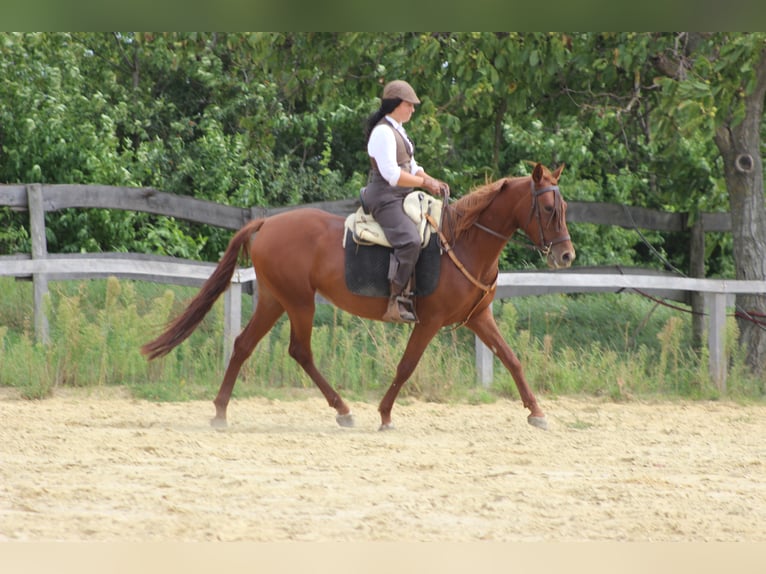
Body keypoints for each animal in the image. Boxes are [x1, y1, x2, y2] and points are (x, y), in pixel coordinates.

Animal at [142, 162, 576, 432]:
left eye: (565, 205)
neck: (463, 242)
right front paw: (384, 415)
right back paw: (343, 410)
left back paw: (221, 411)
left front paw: (537, 412)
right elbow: (406, 366)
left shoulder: (478, 318)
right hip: (299, 302)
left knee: (245, 345)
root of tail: (266, 224)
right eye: (548, 207)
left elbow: (512, 360)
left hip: (274, 300)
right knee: (300, 351)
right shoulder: (430, 322)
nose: (566, 255)